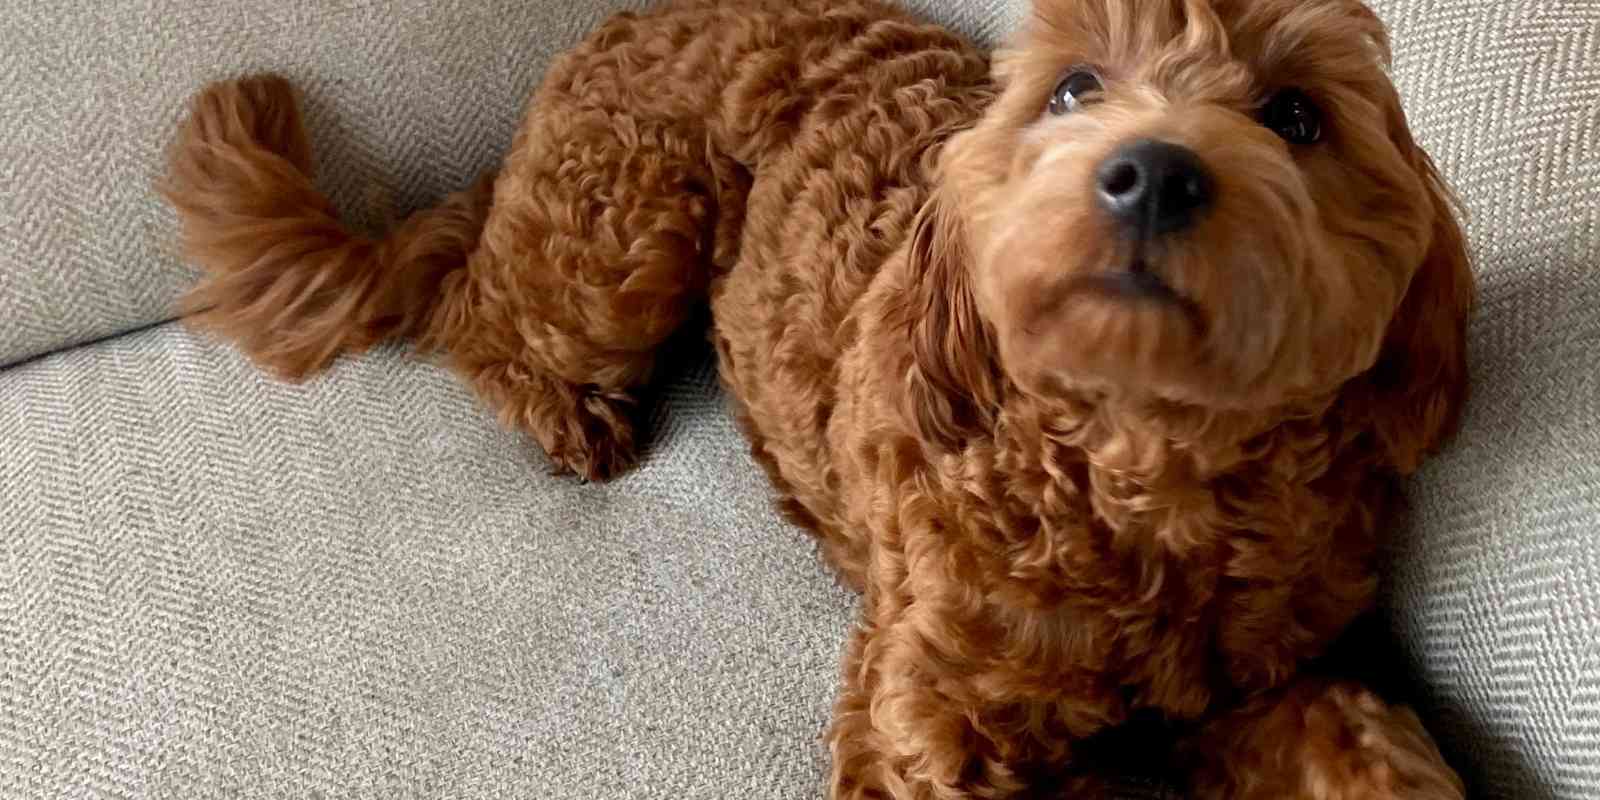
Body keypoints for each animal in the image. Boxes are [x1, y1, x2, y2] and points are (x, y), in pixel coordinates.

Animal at [162, 0, 1472, 796]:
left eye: (1296, 116)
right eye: (1071, 88)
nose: (1150, 170)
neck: (1137, 473)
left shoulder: (1276, 672)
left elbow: (1361, 740)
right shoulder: (927, 714)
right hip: (625, 233)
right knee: (480, 315)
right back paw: (566, 411)